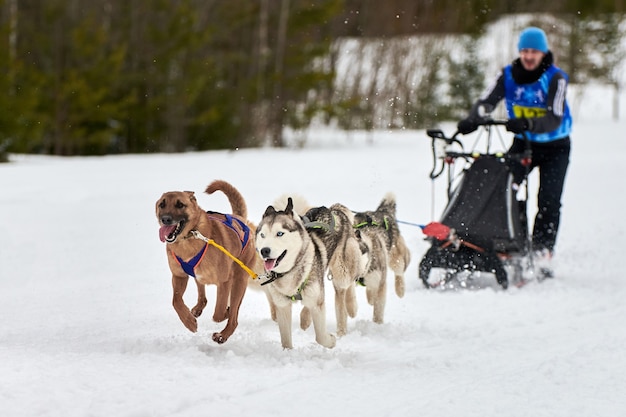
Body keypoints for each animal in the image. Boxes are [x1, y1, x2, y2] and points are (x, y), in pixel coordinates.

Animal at [155, 180, 260, 342]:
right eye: (162, 204)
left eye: (180, 205)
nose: (165, 219)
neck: (189, 237)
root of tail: (240, 219)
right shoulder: (179, 276)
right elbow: (176, 300)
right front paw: (189, 322)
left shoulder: (224, 282)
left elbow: (218, 313)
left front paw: (226, 313)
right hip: (200, 276)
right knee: (202, 294)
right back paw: (198, 308)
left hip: (239, 280)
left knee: (234, 316)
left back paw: (223, 334)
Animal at [254, 198, 334, 348]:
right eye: (262, 235)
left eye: (280, 233)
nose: (264, 250)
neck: (288, 272)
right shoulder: (282, 306)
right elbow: (285, 340)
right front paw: (288, 352)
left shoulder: (316, 302)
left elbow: (320, 337)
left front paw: (331, 341)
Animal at [352, 193, 410, 324]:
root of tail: (383, 211)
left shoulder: (381, 283)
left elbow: (378, 309)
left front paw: (377, 325)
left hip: (395, 259)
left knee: (401, 267)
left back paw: (400, 289)